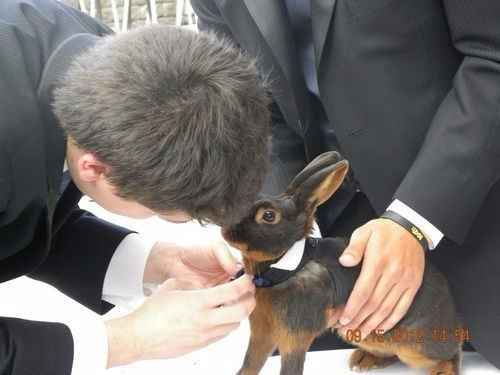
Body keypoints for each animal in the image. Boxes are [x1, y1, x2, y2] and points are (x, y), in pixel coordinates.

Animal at [223, 151, 464, 375]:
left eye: (269, 216)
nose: (226, 229)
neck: (285, 268)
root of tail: (454, 318)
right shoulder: (261, 333)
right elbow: (250, 363)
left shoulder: (294, 338)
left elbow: (289, 367)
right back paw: (363, 360)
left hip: (415, 346)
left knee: (451, 353)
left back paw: (442, 371)